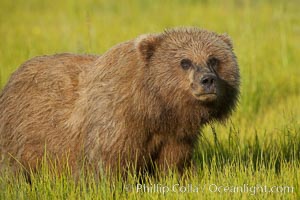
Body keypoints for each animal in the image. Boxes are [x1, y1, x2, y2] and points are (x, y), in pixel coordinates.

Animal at [0, 27, 239, 177]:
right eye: (185, 62)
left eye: (214, 59)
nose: (207, 80)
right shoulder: (115, 123)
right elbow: (106, 164)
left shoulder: (174, 136)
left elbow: (173, 164)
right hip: (20, 135)